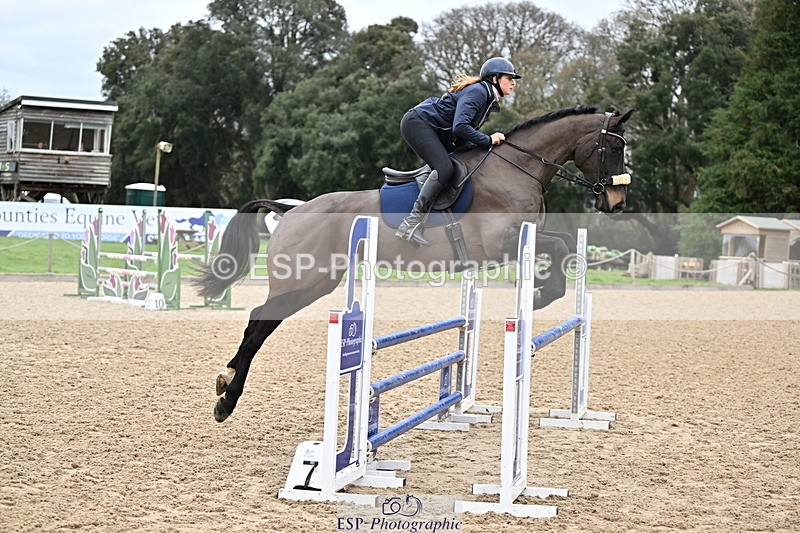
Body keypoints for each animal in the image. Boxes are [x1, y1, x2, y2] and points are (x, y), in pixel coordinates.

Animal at [196, 105, 635, 422]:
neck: (517, 169)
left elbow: (567, 246)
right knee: (259, 321)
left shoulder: (521, 241)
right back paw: (226, 399)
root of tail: (290, 210)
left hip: (317, 284)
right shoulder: (501, 245)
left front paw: (543, 288)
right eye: (614, 149)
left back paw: (225, 384)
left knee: (260, 321)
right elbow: (560, 248)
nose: (615, 204)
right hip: (301, 280)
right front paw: (543, 293)